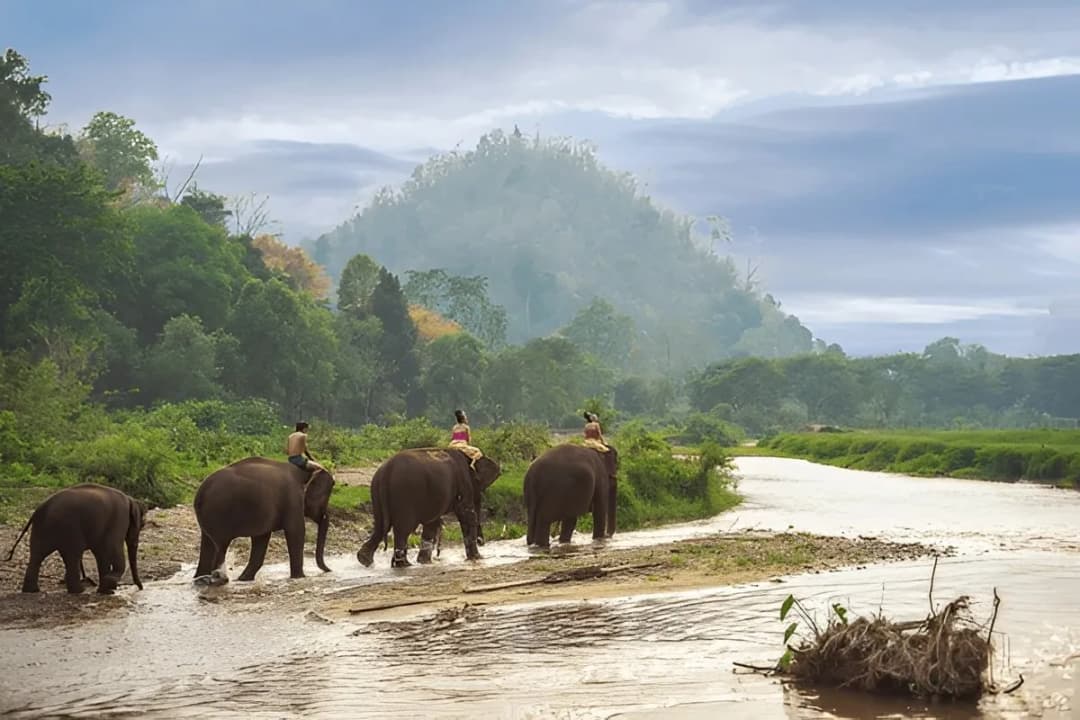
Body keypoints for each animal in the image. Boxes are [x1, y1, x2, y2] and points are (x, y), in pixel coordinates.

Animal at [6, 483, 147, 594]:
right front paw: (110, 584)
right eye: (143, 525)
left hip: (43, 528)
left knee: (38, 555)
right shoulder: (119, 519)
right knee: (72, 555)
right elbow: (113, 548)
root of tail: (39, 509)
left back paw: (32, 590)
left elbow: (102, 553)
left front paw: (106, 591)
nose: (140, 588)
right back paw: (79, 591)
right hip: (69, 527)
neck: (131, 500)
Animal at [193, 457, 335, 582]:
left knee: (208, 545)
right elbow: (296, 532)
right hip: (219, 514)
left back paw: (201, 578)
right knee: (221, 546)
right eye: (325, 497)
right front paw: (300, 578)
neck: (305, 473)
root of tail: (201, 493)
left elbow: (261, 539)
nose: (330, 570)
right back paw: (220, 579)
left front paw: (244, 579)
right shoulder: (293, 500)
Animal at [356, 448, 501, 568]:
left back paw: (365, 560)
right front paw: (477, 558)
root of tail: (386, 472)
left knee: (380, 527)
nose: (482, 542)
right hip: (404, 494)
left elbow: (432, 523)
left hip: (376, 493)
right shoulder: (463, 485)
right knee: (402, 530)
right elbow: (466, 515)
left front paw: (424, 562)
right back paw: (404, 564)